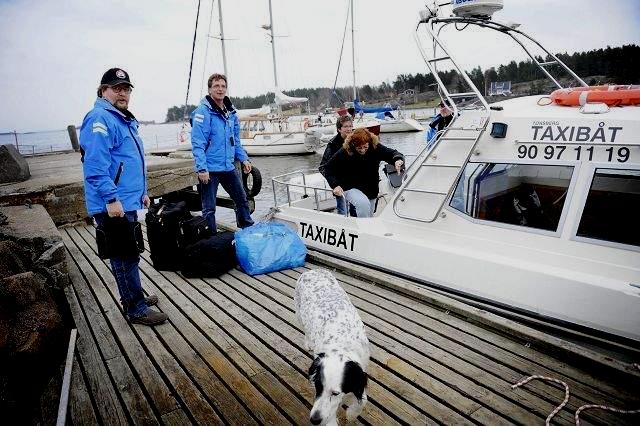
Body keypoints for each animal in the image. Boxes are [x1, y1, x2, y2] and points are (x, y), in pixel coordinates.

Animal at [296, 270, 370, 426]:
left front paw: (351, 414)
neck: (341, 346)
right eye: (317, 387)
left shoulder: (360, 371)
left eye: (335, 393)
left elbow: (363, 400)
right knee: (305, 329)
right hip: (298, 314)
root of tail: (312, 270)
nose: (314, 420)